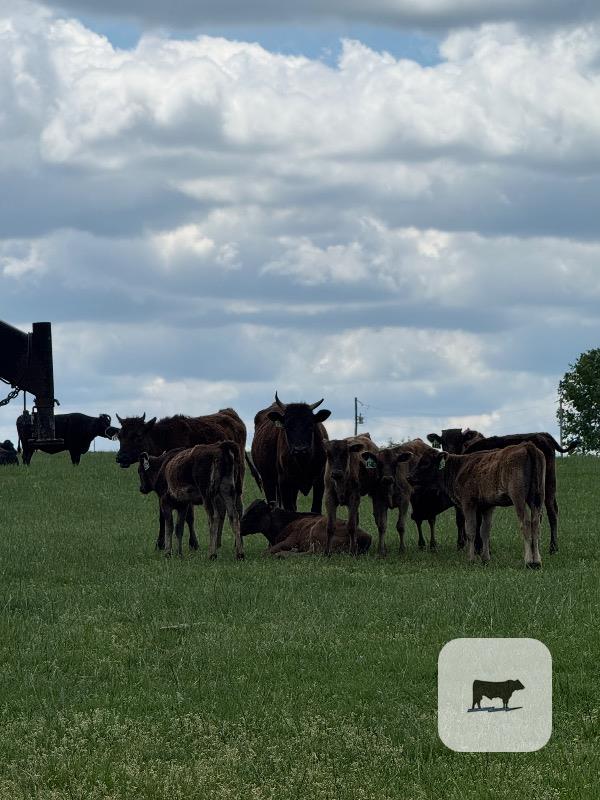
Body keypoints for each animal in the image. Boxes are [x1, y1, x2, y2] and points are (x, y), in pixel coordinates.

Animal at [116, 408, 247, 549]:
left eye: (138, 436)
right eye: (119, 436)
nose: (121, 457)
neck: (163, 439)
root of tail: (230, 413)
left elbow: (189, 516)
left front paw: (193, 543)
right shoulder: (163, 493)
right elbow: (163, 516)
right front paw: (160, 544)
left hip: (238, 481)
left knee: (238, 507)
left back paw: (237, 542)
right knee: (223, 510)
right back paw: (218, 542)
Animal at [240, 499, 372, 556]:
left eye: (256, 512)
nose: (239, 527)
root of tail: (366, 536)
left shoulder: (291, 540)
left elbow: (266, 552)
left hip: (316, 533)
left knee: (312, 553)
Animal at [408, 443, 546, 568]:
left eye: (425, 462)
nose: (409, 477)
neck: (458, 468)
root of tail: (527, 446)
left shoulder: (468, 503)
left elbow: (471, 530)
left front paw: (471, 559)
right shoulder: (488, 506)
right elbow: (485, 531)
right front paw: (485, 558)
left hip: (518, 497)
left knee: (526, 523)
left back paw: (529, 561)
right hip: (537, 498)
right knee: (536, 524)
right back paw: (537, 561)